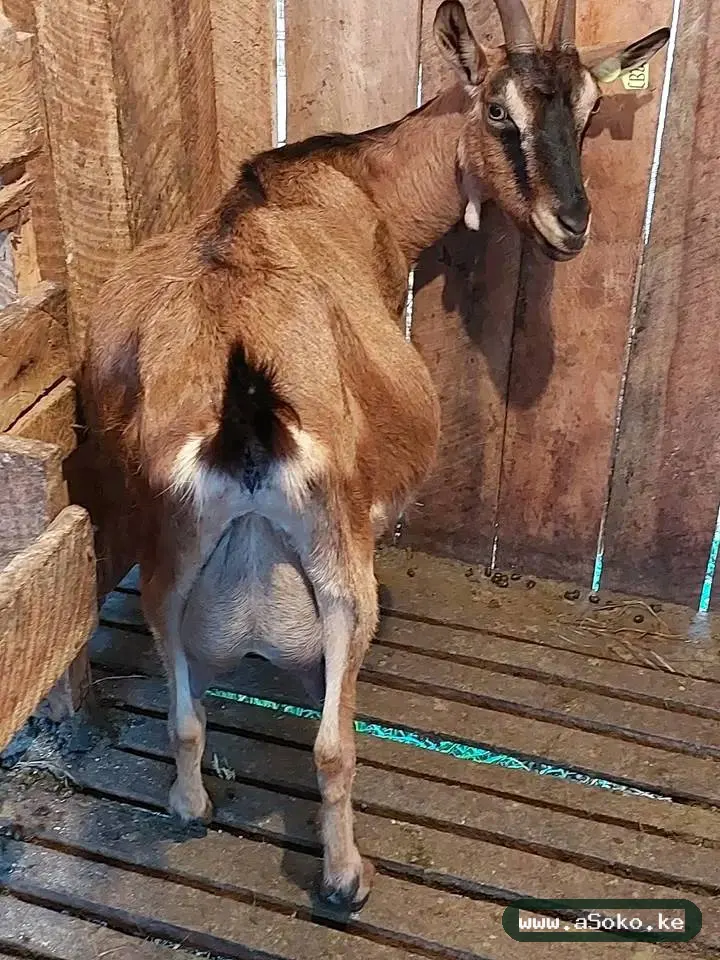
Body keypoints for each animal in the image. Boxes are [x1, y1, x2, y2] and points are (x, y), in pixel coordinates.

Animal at [81, 0, 669, 912]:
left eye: (587, 108)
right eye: (498, 110)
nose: (570, 225)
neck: (355, 184)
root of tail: (245, 422)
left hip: (167, 567)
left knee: (183, 717)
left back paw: (193, 796)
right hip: (339, 569)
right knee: (331, 745)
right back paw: (347, 877)